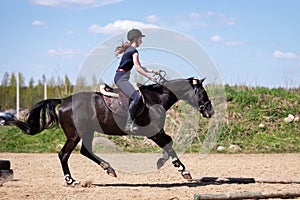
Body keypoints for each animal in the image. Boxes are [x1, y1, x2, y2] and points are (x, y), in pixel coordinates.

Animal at [9, 76, 213, 185]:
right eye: (203, 93)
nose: (210, 111)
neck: (156, 99)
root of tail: (64, 100)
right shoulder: (153, 132)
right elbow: (169, 144)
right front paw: (183, 171)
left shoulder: (156, 132)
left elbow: (169, 143)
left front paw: (163, 162)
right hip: (74, 135)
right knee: (63, 154)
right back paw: (71, 180)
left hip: (87, 132)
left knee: (85, 151)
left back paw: (108, 168)